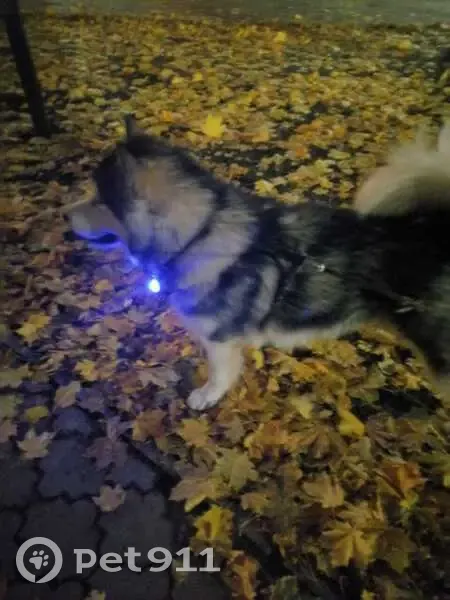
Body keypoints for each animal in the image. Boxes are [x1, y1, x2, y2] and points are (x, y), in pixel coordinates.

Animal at [66, 115, 450, 410]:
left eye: (98, 199)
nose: (64, 216)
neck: (199, 235)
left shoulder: (219, 340)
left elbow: (219, 374)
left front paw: (207, 396)